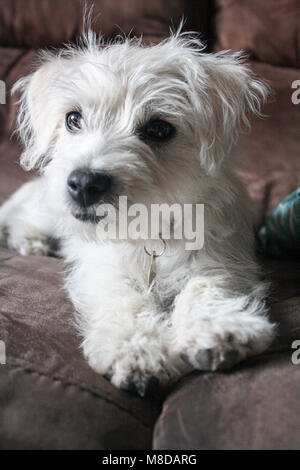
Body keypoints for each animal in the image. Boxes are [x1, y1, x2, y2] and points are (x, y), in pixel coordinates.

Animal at [0, 31, 276, 394]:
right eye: (73, 119)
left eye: (159, 129)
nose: (84, 183)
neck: (147, 231)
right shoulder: (104, 270)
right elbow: (126, 301)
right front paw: (138, 349)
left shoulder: (220, 259)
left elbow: (205, 285)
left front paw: (218, 327)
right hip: (49, 208)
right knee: (23, 213)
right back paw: (31, 241)